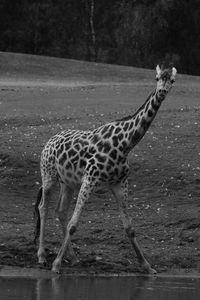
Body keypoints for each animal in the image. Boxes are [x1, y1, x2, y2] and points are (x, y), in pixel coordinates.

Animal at [34, 64, 177, 274]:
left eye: (172, 80)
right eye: (156, 78)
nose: (162, 92)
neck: (125, 145)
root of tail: (48, 142)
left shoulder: (120, 184)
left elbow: (129, 227)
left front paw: (147, 266)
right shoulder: (90, 179)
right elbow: (73, 224)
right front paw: (56, 264)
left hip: (68, 183)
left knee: (60, 211)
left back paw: (73, 257)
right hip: (48, 176)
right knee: (43, 208)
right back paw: (42, 257)